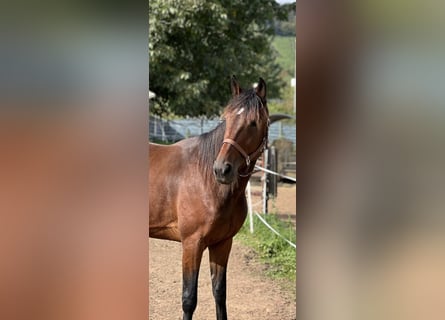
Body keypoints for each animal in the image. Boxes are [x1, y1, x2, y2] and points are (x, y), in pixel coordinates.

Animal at [149, 75, 268, 320]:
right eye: (226, 118)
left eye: (253, 122)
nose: (222, 169)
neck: (206, 180)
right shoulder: (192, 244)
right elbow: (189, 299)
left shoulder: (222, 243)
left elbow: (219, 293)